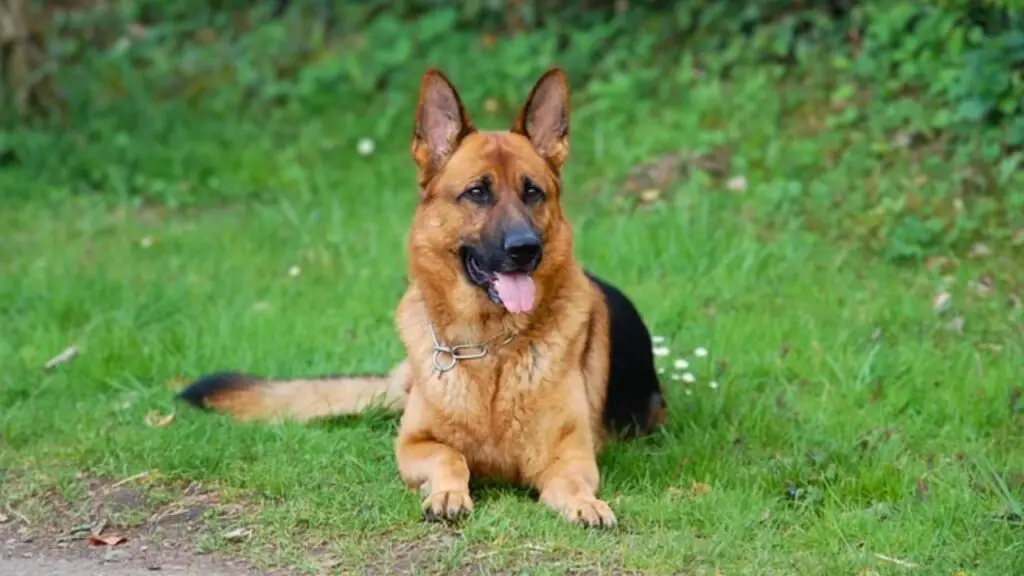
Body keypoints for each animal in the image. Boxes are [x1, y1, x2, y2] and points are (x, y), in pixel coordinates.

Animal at [180, 66, 667, 524]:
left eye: (533, 192)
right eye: (477, 192)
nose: (525, 249)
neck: (487, 350)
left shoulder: (572, 456)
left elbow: (570, 483)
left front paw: (585, 504)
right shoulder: (415, 444)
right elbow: (450, 457)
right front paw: (448, 493)